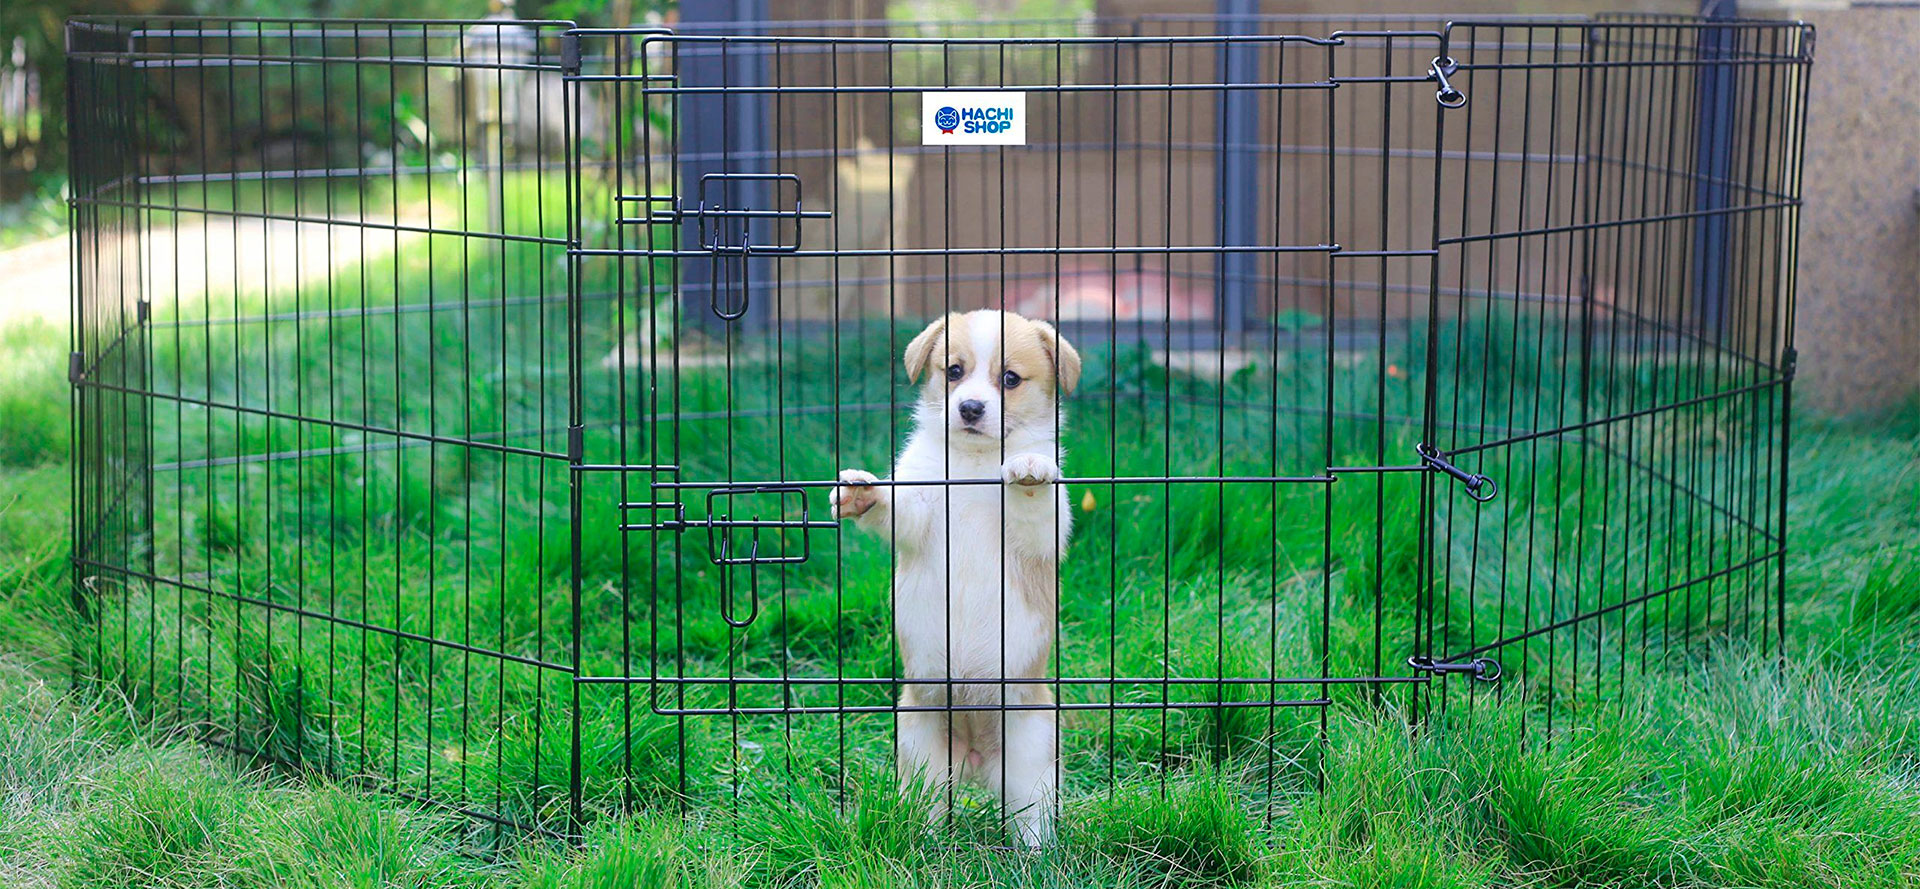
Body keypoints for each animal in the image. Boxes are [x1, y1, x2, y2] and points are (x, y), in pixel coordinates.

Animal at [833, 309, 1082, 844]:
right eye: (953, 371)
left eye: (1010, 379)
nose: (968, 408)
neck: (972, 464)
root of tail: (974, 758)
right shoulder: (920, 511)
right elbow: (894, 506)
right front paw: (862, 492)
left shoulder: (1040, 533)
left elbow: (1034, 498)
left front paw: (1027, 467)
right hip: (920, 749)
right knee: (926, 809)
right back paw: (921, 844)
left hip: (1030, 752)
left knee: (1032, 820)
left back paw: (1035, 854)